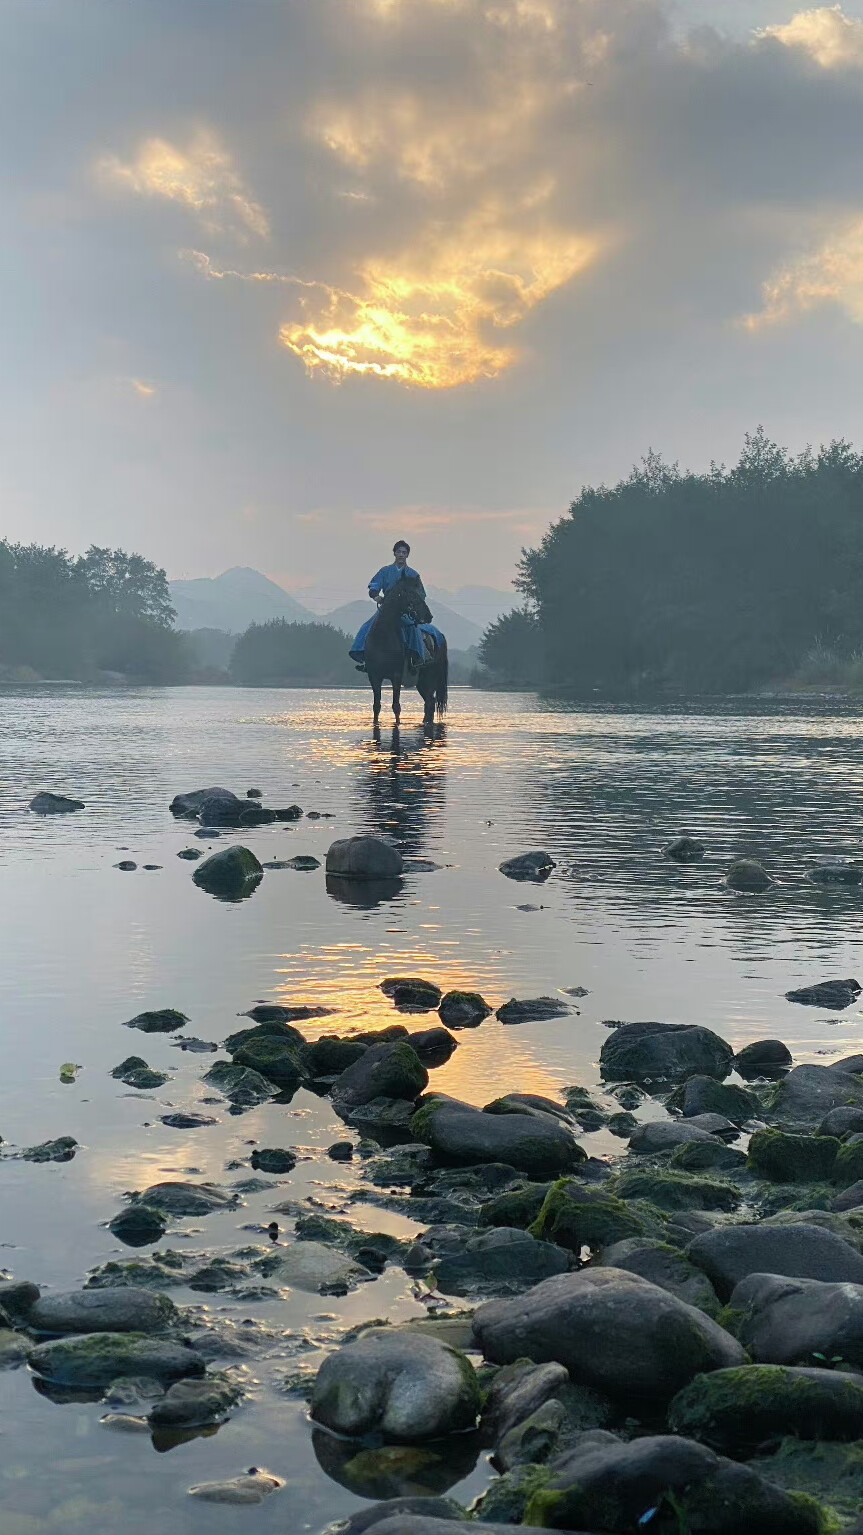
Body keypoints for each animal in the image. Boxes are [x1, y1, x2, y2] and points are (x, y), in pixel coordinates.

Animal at [362, 577, 445, 727]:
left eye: (421, 592)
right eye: (412, 594)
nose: (428, 615)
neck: (383, 638)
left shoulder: (396, 676)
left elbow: (396, 706)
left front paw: (398, 723)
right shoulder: (374, 676)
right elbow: (376, 706)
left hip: (430, 676)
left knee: (430, 702)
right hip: (421, 681)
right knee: (429, 701)